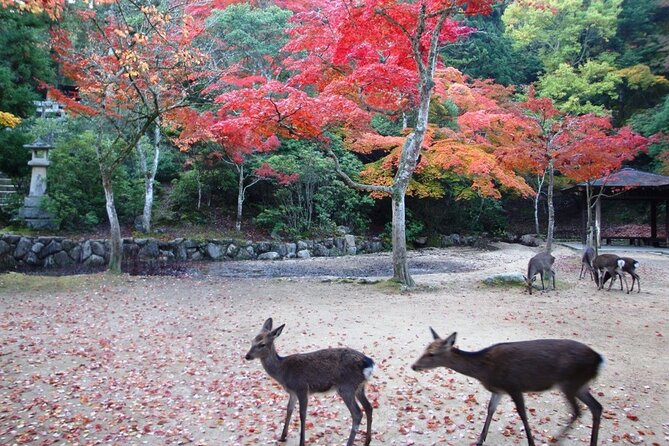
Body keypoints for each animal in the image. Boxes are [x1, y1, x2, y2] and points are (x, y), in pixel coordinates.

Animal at [244, 318, 374, 446]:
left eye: (262, 344)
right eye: (252, 341)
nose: (247, 356)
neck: (283, 373)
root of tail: (369, 363)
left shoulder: (302, 388)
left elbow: (302, 414)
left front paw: (301, 442)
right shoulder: (292, 392)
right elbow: (289, 409)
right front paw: (282, 437)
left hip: (346, 387)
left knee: (357, 413)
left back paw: (350, 442)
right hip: (359, 387)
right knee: (368, 407)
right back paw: (367, 441)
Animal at [410, 328, 604, 446]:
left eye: (431, 354)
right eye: (425, 349)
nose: (414, 366)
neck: (485, 370)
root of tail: (599, 359)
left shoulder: (514, 386)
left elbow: (523, 415)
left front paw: (531, 442)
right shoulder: (499, 390)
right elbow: (490, 409)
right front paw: (479, 440)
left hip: (570, 383)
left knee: (578, 411)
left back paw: (555, 439)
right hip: (580, 385)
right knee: (596, 407)